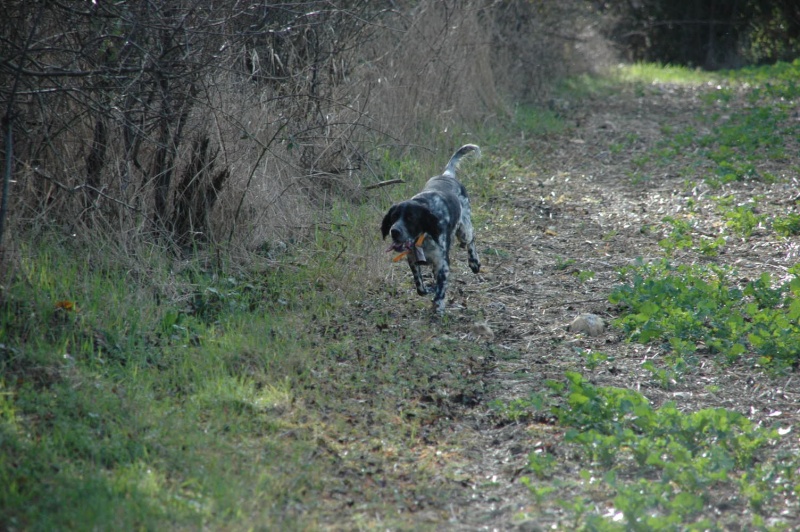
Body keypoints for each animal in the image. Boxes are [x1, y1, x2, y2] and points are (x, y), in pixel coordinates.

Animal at [382, 143, 482, 314]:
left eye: (411, 218)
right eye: (394, 217)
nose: (394, 231)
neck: (423, 238)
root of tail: (447, 175)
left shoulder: (442, 262)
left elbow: (440, 289)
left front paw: (438, 305)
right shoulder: (412, 259)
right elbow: (420, 287)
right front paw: (428, 290)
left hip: (464, 230)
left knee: (471, 238)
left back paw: (474, 262)